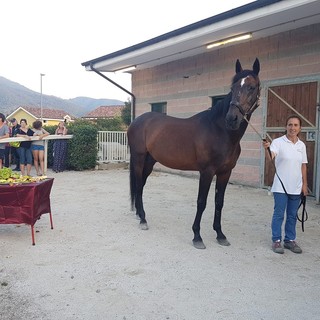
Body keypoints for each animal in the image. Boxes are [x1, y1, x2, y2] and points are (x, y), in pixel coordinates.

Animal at [127, 58, 260, 249]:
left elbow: (219, 202)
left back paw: (139, 214)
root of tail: (136, 122)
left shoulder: (225, 172)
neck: (220, 131)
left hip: (149, 161)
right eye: (233, 87)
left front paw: (220, 234)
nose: (232, 119)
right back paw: (143, 220)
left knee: (141, 186)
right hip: (138, 159)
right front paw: (197, 236)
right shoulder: (207, 172)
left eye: (252, 87)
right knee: (138, 185)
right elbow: (201, 202)